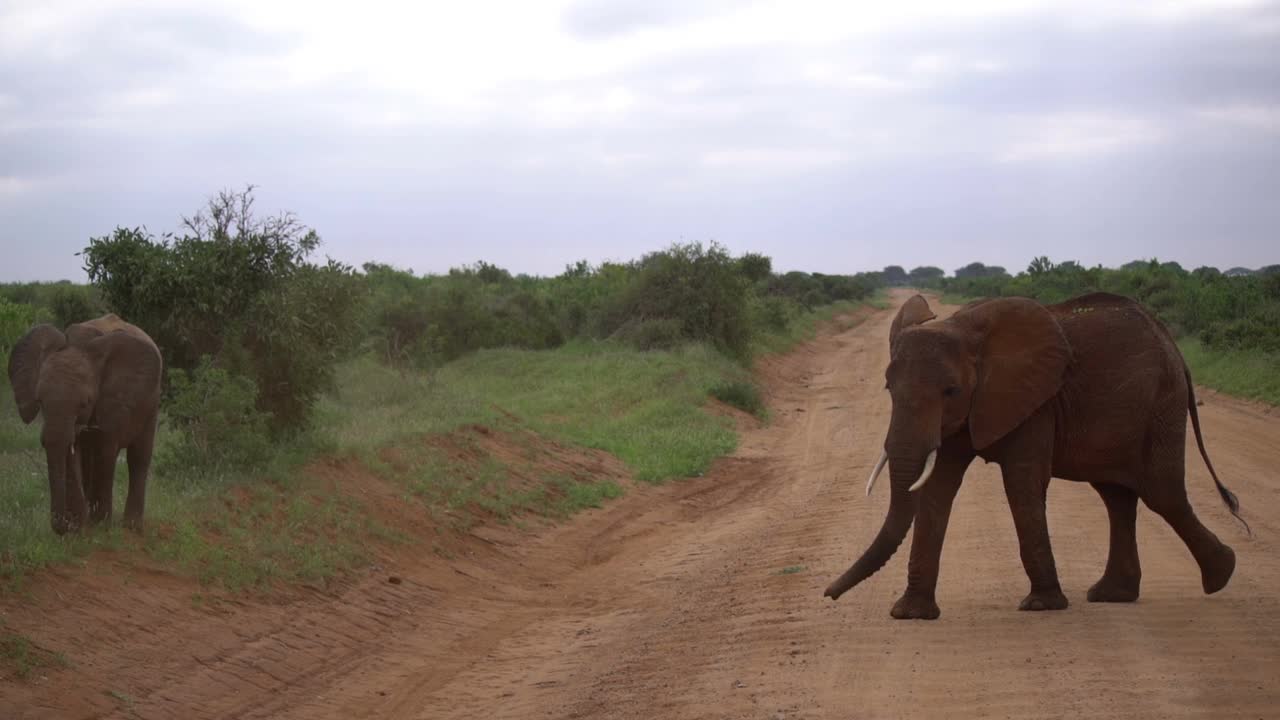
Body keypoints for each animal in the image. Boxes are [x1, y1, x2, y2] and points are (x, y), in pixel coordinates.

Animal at [7, 312, 162, 532]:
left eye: (84, 403)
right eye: (40, 401)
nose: (63, 524)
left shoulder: (113, 401)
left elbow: (106, 451)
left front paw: (100, 525)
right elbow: (75, 452)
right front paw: (79, 528)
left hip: (151, 404)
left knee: (138, 457)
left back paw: (131, 526)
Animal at [824, 292, 1244, 617]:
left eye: (951, 391)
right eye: (888, 388)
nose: (827, 593)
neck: (963, 328)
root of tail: (1173, 345)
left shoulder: (1035, 401)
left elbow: (1022, 482)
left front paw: (1042, 605)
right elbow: (938, 487)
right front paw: (911, 614)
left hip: (1161, 404)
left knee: (1162, 493)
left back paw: (1221, 575)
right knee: (1117, 496)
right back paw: (1114, 595)